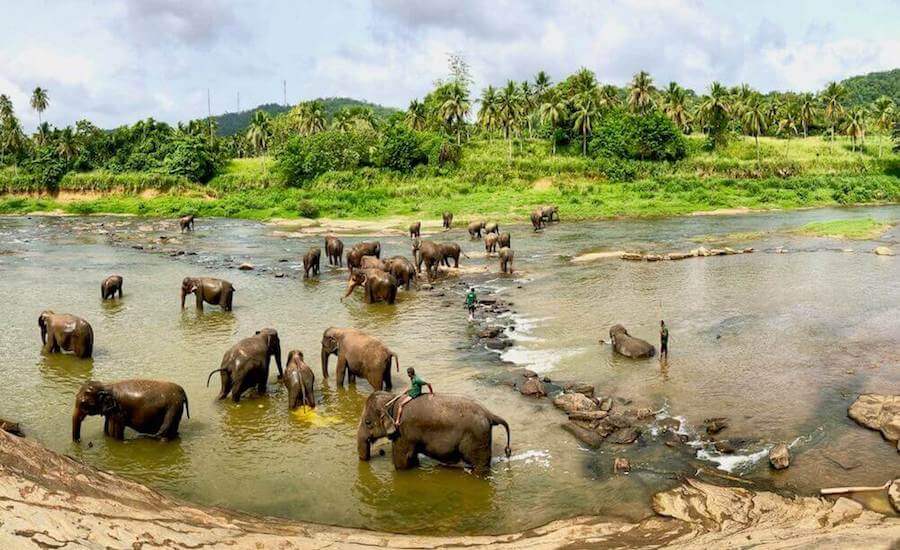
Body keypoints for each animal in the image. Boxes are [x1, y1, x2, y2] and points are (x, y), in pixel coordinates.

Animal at [358, 390, 512, 476]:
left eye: (367, 422)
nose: (378, 453)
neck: (393, 398)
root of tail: (490, 414)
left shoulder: (402, 431)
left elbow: (401, 459)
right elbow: (411, 457)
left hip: (477, 437)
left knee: (479, 465)